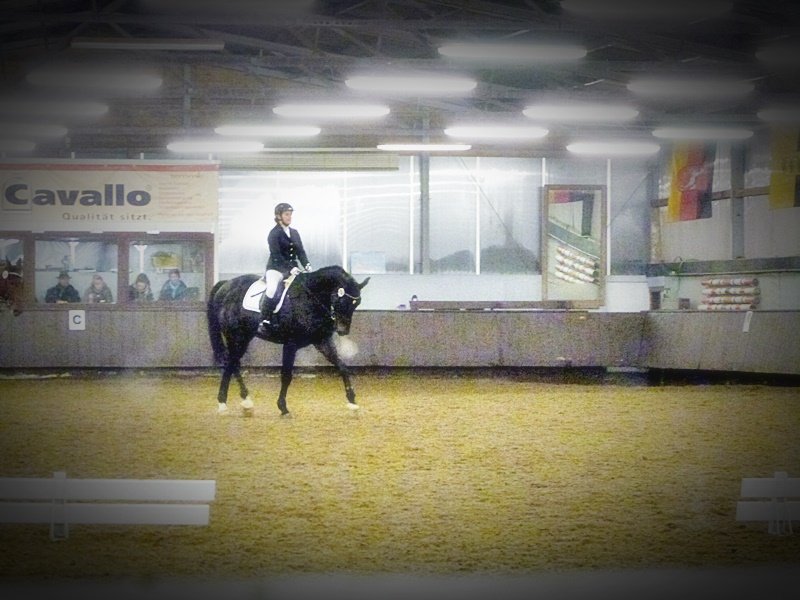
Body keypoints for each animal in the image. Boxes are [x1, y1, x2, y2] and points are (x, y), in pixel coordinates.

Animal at [207, 265, 369, 416]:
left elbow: (342, 367)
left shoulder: (322, 341)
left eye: (357, 303)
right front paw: (283, 407)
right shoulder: (290, 344)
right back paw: (224, 402)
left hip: (244, 337)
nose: (342, 330)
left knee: (233, 363)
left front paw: (352, 400)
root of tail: (227, 284)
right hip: (236, 337)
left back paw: (245, 400)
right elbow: (286, 375)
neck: (310, 298)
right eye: (339, 298)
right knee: (231, 363)